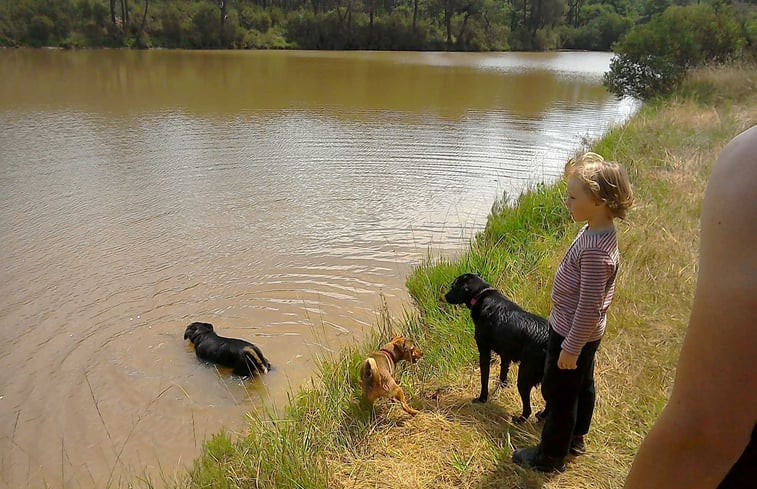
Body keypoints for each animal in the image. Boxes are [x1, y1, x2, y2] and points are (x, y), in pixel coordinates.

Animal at [442, 272, 548, 422]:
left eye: (453, 286)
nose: (445, 296)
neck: (480, 295)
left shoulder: (484, 350)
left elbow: (484, 378)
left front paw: (482, 398)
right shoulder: (505, 354)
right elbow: (503, 372)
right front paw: (502, 387)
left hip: (525, 376)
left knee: (528, 408)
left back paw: (520, 419)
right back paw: (541, 416)